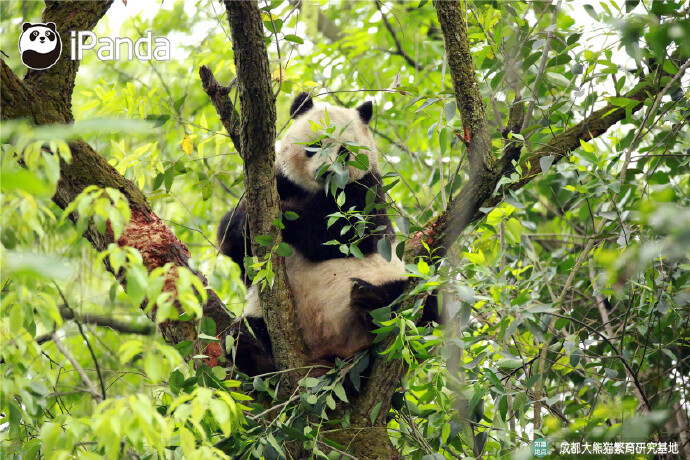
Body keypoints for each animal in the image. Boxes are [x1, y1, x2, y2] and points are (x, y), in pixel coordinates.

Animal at [218, 91, 438, 376]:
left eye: (344, 151)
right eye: (314, 146)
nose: (328, 172)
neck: (318, 192)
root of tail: (330, 355)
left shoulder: (368, 191)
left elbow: (347, 234)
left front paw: (286, 216)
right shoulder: (281, 181)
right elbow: (238, 251)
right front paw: (240, 225)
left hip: (400, 289)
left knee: (426, 307)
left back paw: (371, 302)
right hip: (260, 316)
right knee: (244, 332)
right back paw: (251, 350)